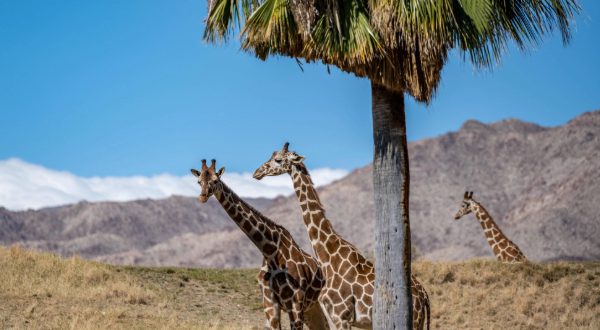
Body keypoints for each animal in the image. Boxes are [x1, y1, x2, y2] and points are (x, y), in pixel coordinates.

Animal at [191, 159, 328, 328]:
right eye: (199, 181)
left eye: (215, 180)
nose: (202, 197)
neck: (270, 251)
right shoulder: (270, 304)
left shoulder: (295, 303)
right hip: (311, 308)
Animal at [253, 143, 432, 330]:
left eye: (278, 159)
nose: (257, 172)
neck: (328, 255)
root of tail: (424, 296)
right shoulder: (336, 316)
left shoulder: (341, 316)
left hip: (411, 322)